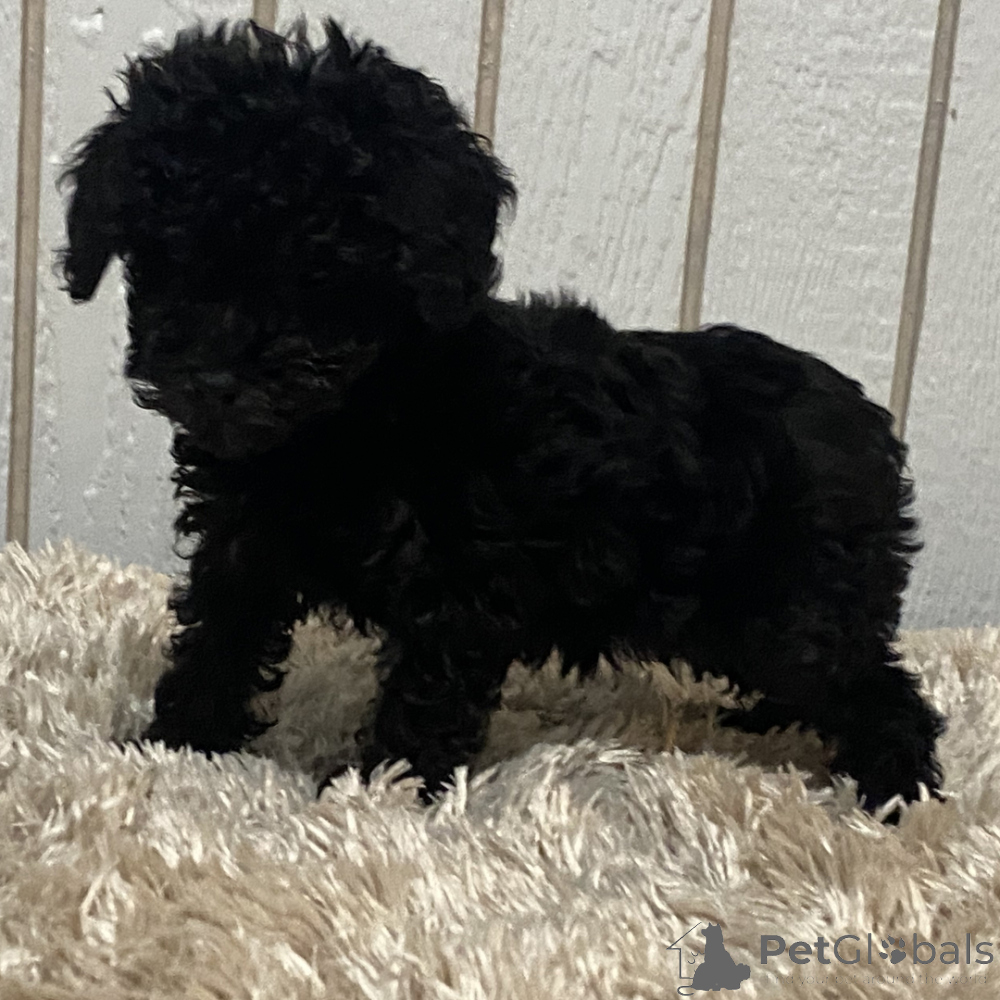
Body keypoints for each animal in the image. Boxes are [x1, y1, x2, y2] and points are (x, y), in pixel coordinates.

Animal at [61, 19, 944, 814]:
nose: (212, 378)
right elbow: (218, 642)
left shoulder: (458, 581)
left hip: (788, 609)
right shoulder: (243, 543)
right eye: (164, 260)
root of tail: (869, 420)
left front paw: (381, 796)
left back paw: (895, 794)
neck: (351, 419)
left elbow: (424, 698)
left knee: (883, 689)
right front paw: (172, 748)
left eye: (318, 267)